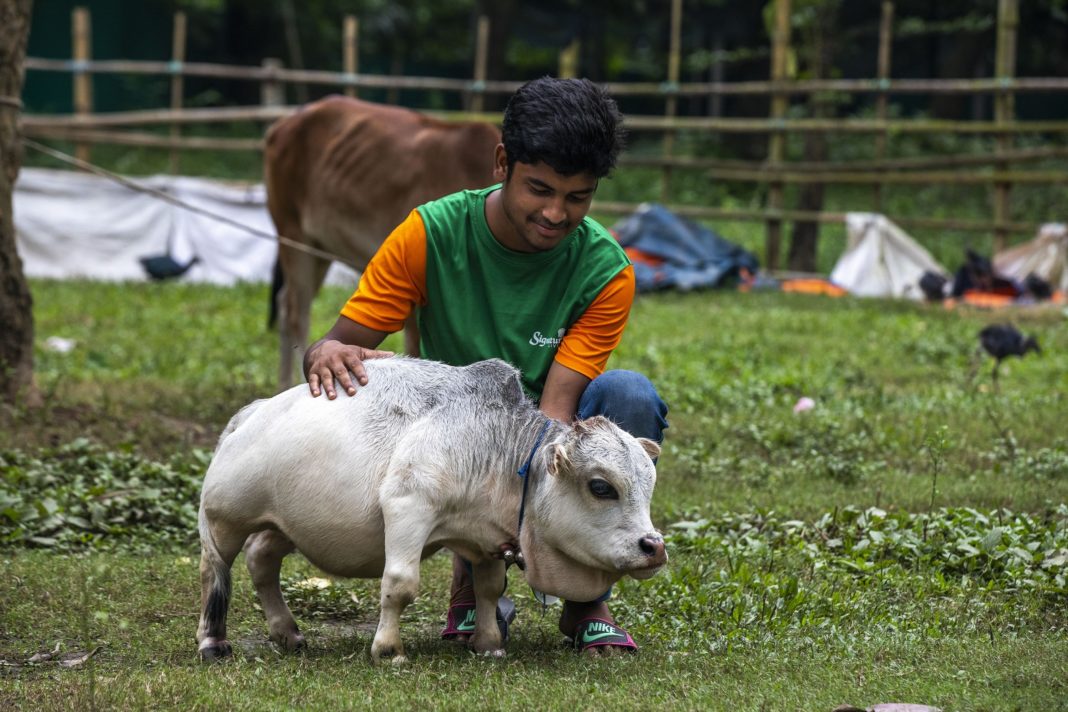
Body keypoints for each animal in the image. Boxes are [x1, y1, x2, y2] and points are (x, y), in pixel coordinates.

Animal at [197, 358, 662, 666]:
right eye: (601, 487)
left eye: (649, 483)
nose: (654, 546)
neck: (495, 446)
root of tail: (252, 412)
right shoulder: (409, 506)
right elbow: (400, 584)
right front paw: (388, 649)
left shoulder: (484, 539)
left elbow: (488, 590)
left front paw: (488, 643)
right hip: (224, 520)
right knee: (214, 570)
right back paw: (212, 641)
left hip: (285, 525)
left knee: (261, 559)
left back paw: (286, 631)